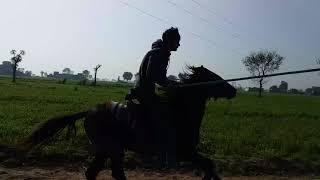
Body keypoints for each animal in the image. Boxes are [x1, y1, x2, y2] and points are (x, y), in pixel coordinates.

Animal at [11, 65, 238, 179]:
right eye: (214, 77)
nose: (234, 90)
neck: (180, 112)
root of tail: (89, 111)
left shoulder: (187, 152)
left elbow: (210, 166)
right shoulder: (184, 151)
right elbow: (209, 164)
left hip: (105, 149)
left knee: (94, 173)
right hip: (110, 147)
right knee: (114, 173)